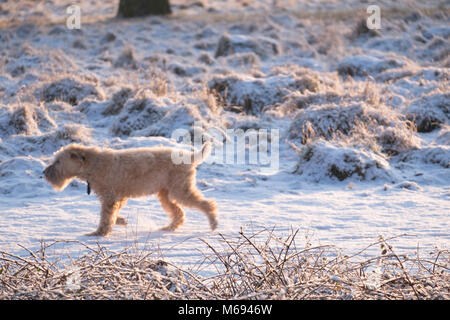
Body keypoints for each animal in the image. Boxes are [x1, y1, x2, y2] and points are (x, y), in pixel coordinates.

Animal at [44, 142, 218, 235]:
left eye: (58, 161)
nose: (44, 172)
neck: (93, 165)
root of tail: (190, 157)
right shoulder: (118, 196)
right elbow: (112, 214)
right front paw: (121, 221)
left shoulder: (110, 196)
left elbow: (106, 216)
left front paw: (99, 233)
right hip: (166, 193)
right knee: (179, 213)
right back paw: (169, 227)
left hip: (180, 189)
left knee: (207, 204)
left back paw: (213, 223)